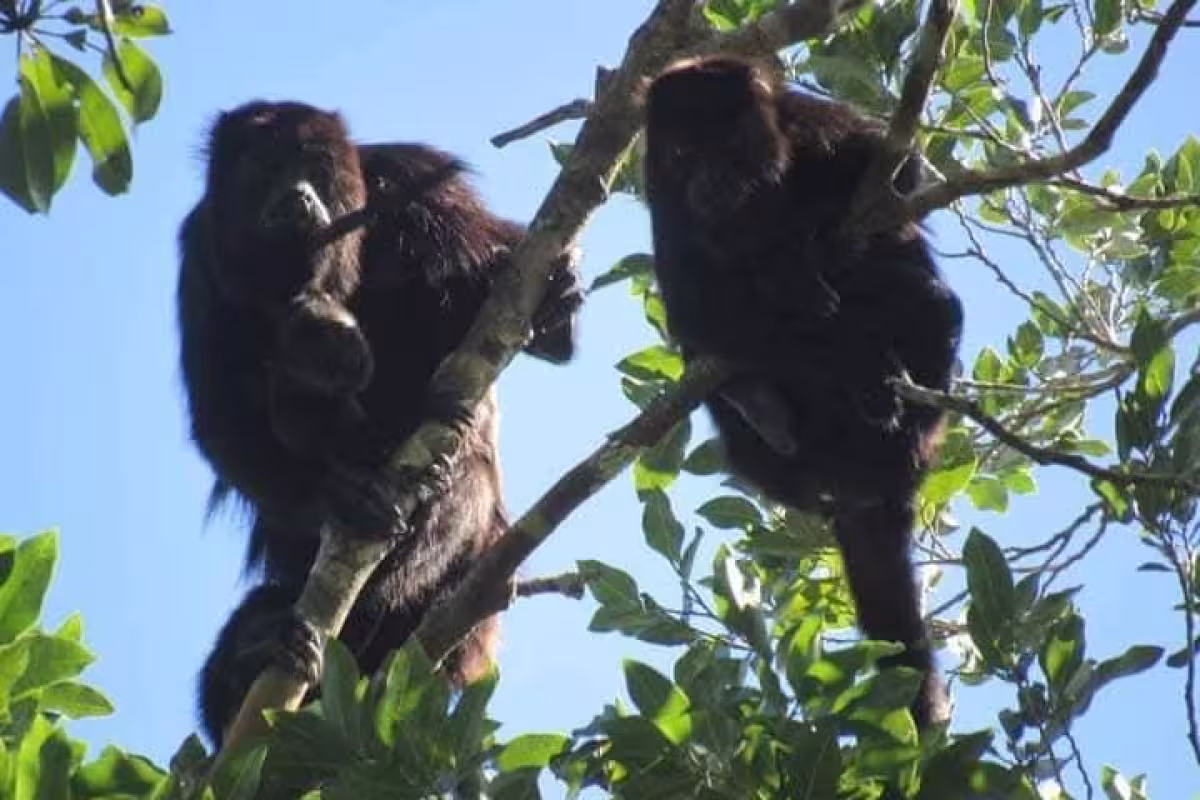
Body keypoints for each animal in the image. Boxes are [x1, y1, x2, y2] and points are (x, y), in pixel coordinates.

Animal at [178, 101, 582, 745]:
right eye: (265, 167)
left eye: (315, 165)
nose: (298, 196)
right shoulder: (198, 250)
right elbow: (221, 418)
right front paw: (336, 492)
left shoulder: (418, 180)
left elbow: (533, 323)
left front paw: (551, 299)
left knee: (463, 487)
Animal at [641, 56, 963, 730]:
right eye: (683, 153)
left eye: (730, 145)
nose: (711, 180)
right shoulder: (664, 204)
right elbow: (697, 317)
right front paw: (781, 272)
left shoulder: (812, 121)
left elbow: (903, 175)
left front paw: (802, 239)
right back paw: (767, 407)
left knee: (928, 299)